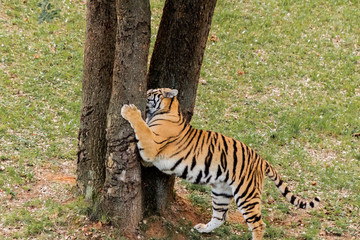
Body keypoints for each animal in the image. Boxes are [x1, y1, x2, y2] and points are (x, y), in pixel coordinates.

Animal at [121, 88, 320, 240]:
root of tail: (261, 159)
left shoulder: (151, 147)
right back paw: (202, 229)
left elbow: (141, 126)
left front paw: (129, 110)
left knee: (259, 224)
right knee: (220, 217)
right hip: (221, 191)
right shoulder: (150, 156)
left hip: (246, 194)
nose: (146, 90)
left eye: (152, 92)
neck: (169, 110)